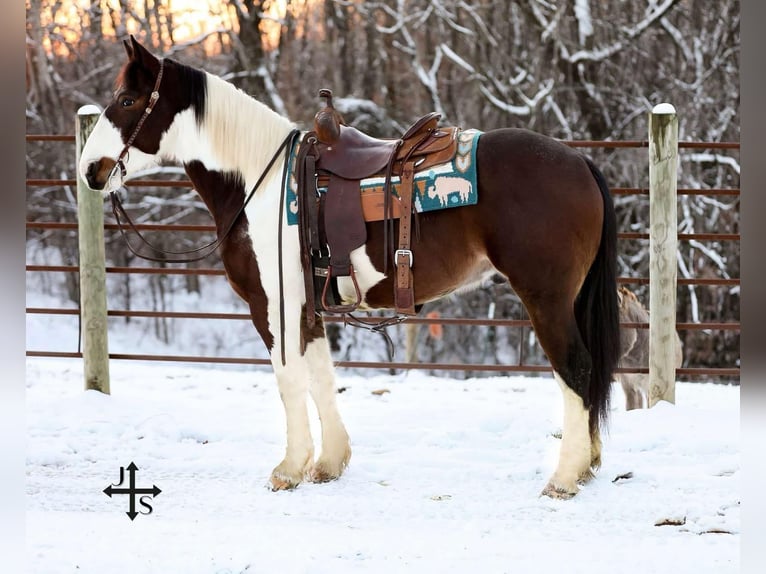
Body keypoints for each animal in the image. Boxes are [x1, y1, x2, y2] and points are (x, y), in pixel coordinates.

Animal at [79, 36, 620, 499]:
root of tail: (579, 163)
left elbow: (289, 379)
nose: (90, 171)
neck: (260, 181)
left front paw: (288, 469)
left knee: (576, 367)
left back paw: (564, 478)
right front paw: (328, 463)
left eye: (127, 100)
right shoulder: (310, 307)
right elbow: (321, 376)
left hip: (545, 298)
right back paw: (588, 465)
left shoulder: (272, 305)